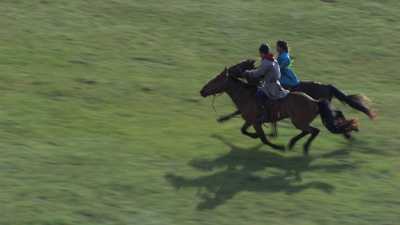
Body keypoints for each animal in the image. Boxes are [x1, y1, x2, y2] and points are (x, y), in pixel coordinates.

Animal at [200, 63, 360, 155]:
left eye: (216, 80)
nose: (202, 91)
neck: (246, 95)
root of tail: (314, 101)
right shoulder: (250, 120)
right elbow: (244, 130)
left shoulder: (256, 122)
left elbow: (263, 138)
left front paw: (277, 146)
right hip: (300, 121)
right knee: (311, 130)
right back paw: (294, 143)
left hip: (299, 121)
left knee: (314, 130)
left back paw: (302, 147)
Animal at [216, 59, 376, 126]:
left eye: (237, 66)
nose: (228, 71)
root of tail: (328, 86)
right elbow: (237, 111)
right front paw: (222, 118)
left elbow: (238, 111)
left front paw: (222, 118)